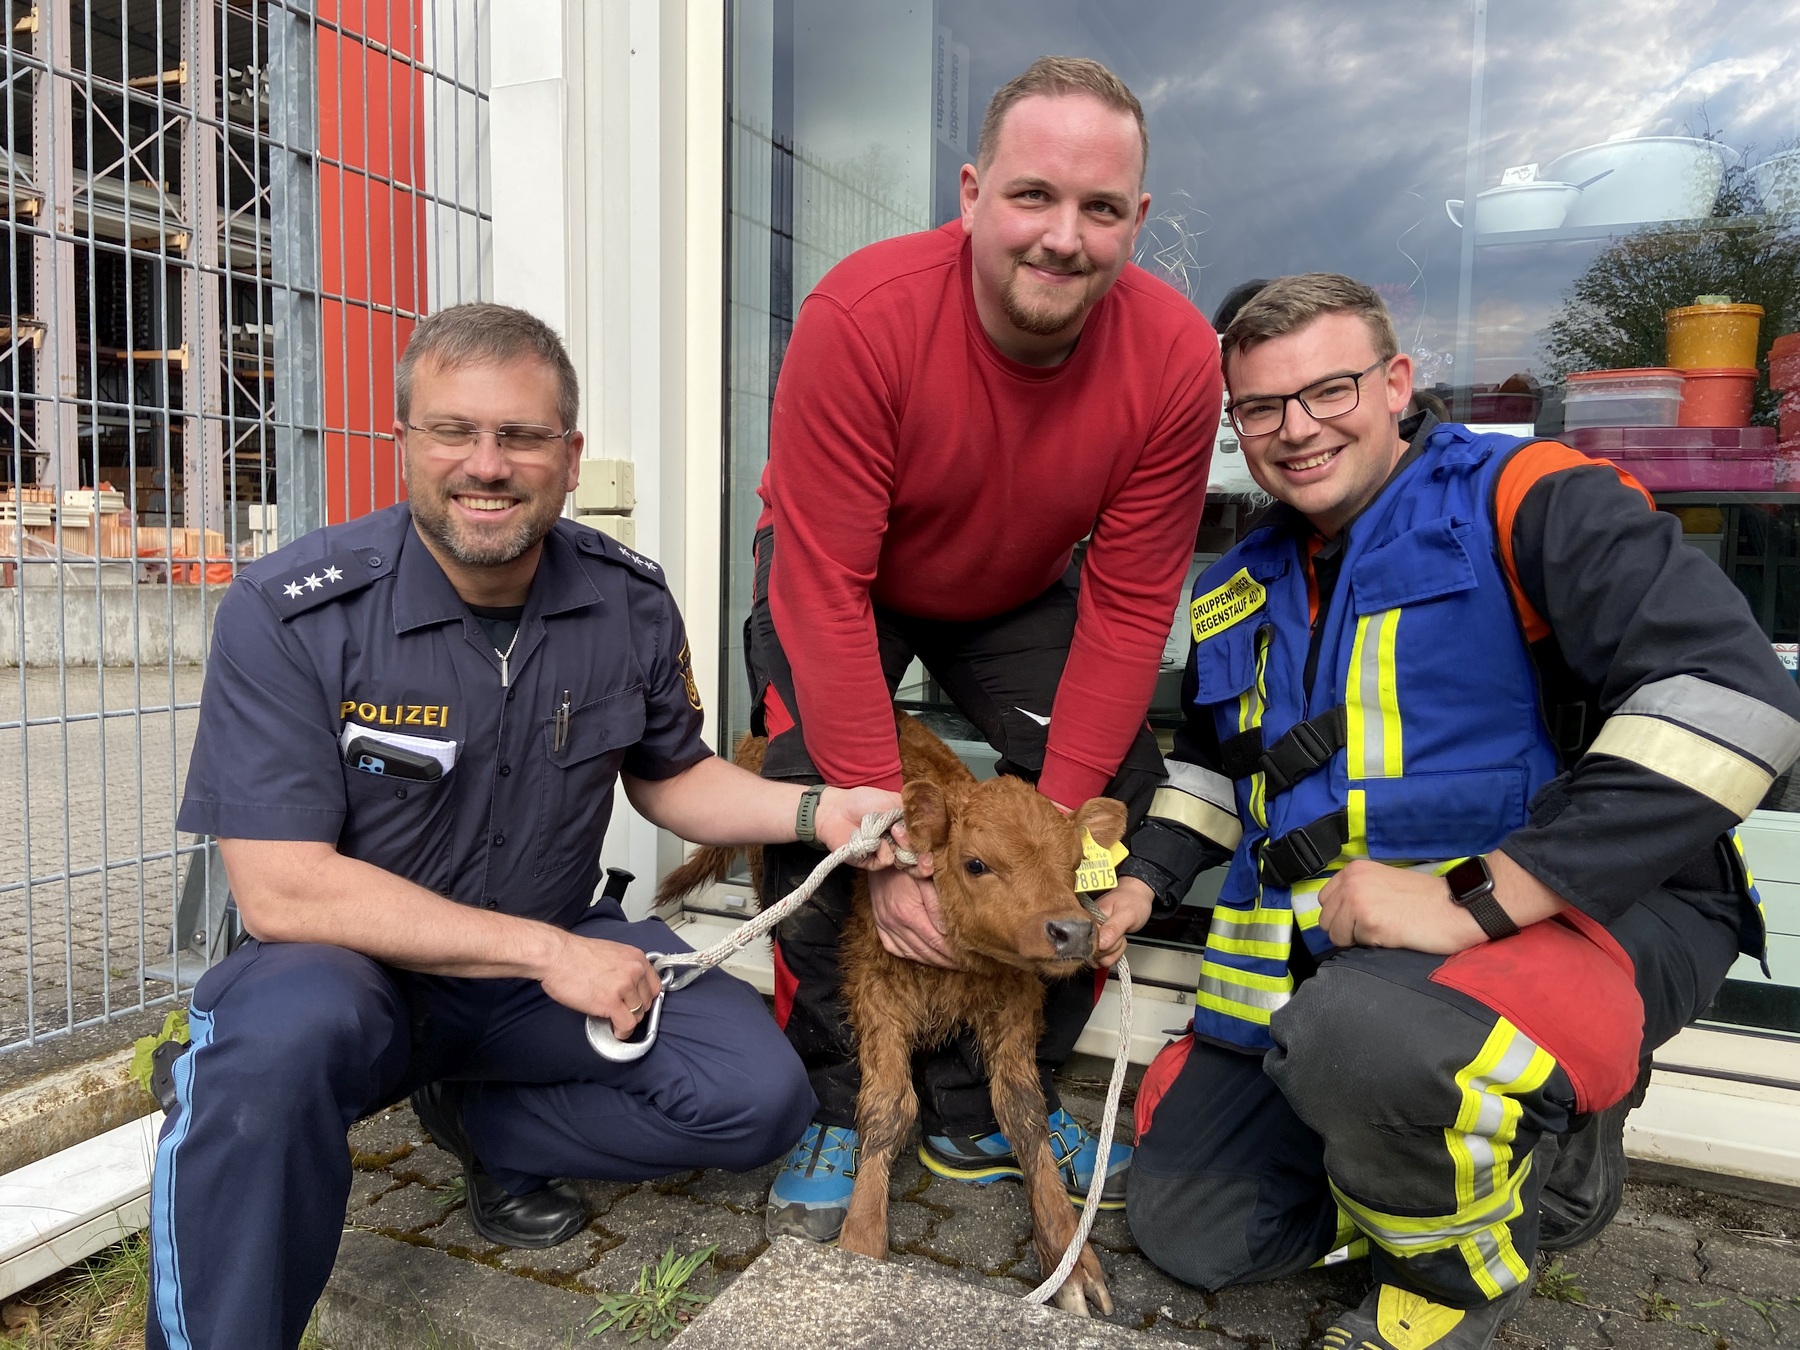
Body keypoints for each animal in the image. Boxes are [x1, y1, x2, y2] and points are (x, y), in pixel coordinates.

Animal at [655, 720, 1116, 1324]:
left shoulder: (1015, 1004)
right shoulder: (876, 998)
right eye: (976, 863)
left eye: (1075, 865)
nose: (1073, 931)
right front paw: (860, 1245)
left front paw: (1068, 1256)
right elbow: (888, 1105)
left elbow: (1023, 1109)